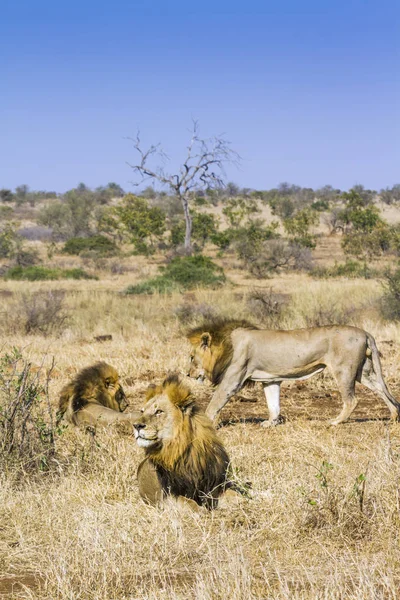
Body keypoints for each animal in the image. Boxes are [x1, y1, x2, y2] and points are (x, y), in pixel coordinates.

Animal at [134, 372, 238, 508]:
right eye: (142, 411)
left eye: (159, 411)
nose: (136, 425)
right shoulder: (169, 498)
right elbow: (189, 504)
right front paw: (202, 510)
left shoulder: (215, 486)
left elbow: (235, 496)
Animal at [188, 318, 400, 426]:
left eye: (191, 357)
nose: (188, 374)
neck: (225, 345)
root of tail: (365, 333)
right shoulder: (270, 380)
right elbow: (273, 404)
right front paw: (271, 423)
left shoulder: (233, 379)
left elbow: (215, 401)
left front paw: (206, 421)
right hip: (364, 371)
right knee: (381, 389)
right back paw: (393, 416)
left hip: (343, 370)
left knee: (352, 400)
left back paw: (335, 421)